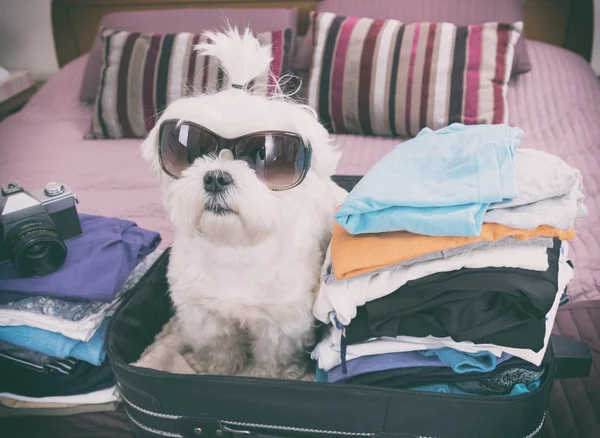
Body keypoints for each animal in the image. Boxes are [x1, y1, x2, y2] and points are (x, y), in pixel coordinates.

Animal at [141, 28, 344, 380]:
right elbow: (219, 347)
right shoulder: (204, 314)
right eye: (193, 149)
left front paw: (269, 375)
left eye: (263, 155)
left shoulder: (281, 322)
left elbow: (273, 357)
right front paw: (217, 368)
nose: (215, 177)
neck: (234, 247)